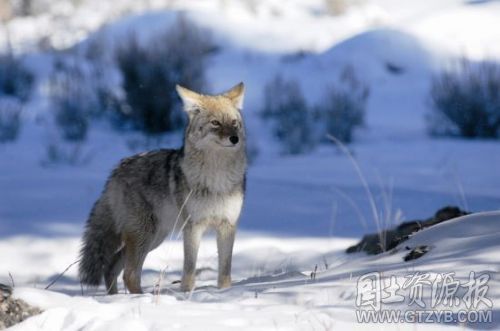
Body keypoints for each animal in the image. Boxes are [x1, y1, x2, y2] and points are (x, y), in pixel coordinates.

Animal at [77, 83, 246, 296]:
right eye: (215, 123)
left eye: (234, 122)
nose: (234, 138)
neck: (217, 177)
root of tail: (115, 171)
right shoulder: (193, 227)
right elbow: (189, 270)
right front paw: (185, 294)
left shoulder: (227, 225)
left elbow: (225, 271)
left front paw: (225, 293)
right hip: (145, 236)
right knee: (129, 274)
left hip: (154, 238)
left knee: (112, 267)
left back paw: (114, 298)